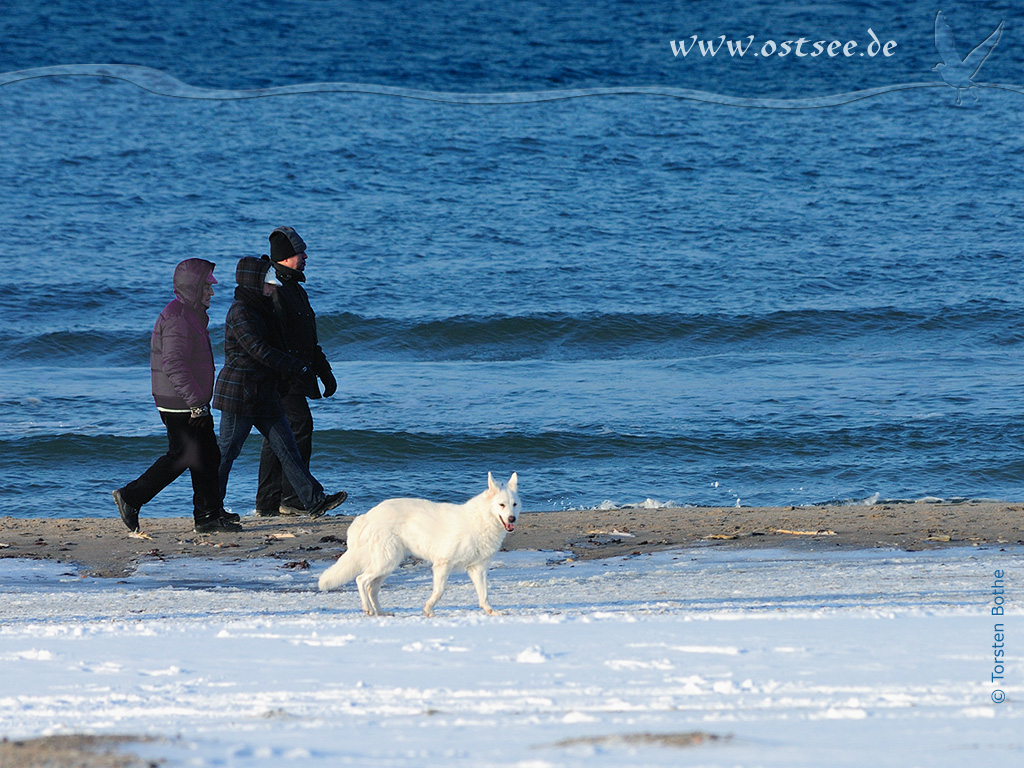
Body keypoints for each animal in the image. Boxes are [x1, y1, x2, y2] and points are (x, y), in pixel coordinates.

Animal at [317, 473, 520, 618]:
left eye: (514, 504)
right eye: (501, 505)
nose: (512, 519)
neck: (480, 520)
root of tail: (368, 515)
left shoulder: (477, 569)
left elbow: (484, 595)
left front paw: (491, 612)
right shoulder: (442, 565)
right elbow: (439, 591)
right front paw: (428, 610)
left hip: (387, 565)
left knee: (371, 588)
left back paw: (380, 612)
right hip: (385, 562)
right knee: (361, 580)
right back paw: (367, 608)